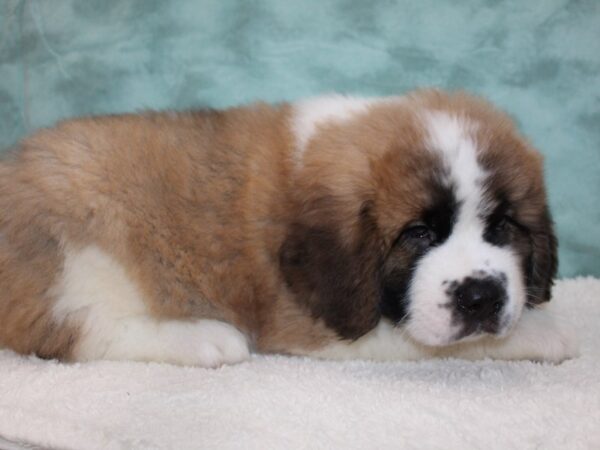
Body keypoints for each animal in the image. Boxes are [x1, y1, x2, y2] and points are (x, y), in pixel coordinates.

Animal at [1, 90, 580, 366]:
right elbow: (445, 343)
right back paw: (205, 339)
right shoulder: (318, 328)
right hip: (81, 240)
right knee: (71, 330)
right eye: (417, 234)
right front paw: (544, 331)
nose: (481, 298)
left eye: (502, 225)